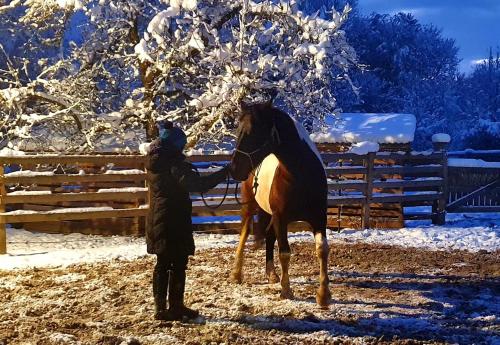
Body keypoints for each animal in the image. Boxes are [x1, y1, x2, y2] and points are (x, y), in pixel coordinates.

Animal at [230, 99, 332, 306]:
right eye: (238, 130)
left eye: (254, 131)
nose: (234, 168)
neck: (301, 176)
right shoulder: (282, 218)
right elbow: (284, 252)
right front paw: (286, 290)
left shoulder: (319, 218)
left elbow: (322, 250)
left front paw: (323, 294)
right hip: (250, 208)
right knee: (244, 233)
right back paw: (237, 274)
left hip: (269, 213)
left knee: (269, 235)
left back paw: (271, 274)